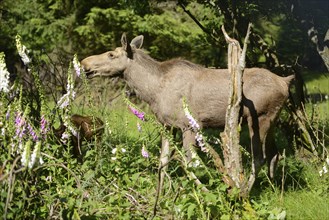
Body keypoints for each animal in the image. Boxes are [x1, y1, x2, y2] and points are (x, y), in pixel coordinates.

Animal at [80, 33, 294, 192]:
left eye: (111, 55)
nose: (84, 63)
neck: (152, 91)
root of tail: (286, 81)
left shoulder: (189, 125)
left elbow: (190, 164)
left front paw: (202, 192)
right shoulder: (167, 125)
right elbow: (163, 162)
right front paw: (160, 195)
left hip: (259, 118)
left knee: (259, 157)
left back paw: (243, 192)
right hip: (271, 121)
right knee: (274, 154)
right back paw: (274, 189)